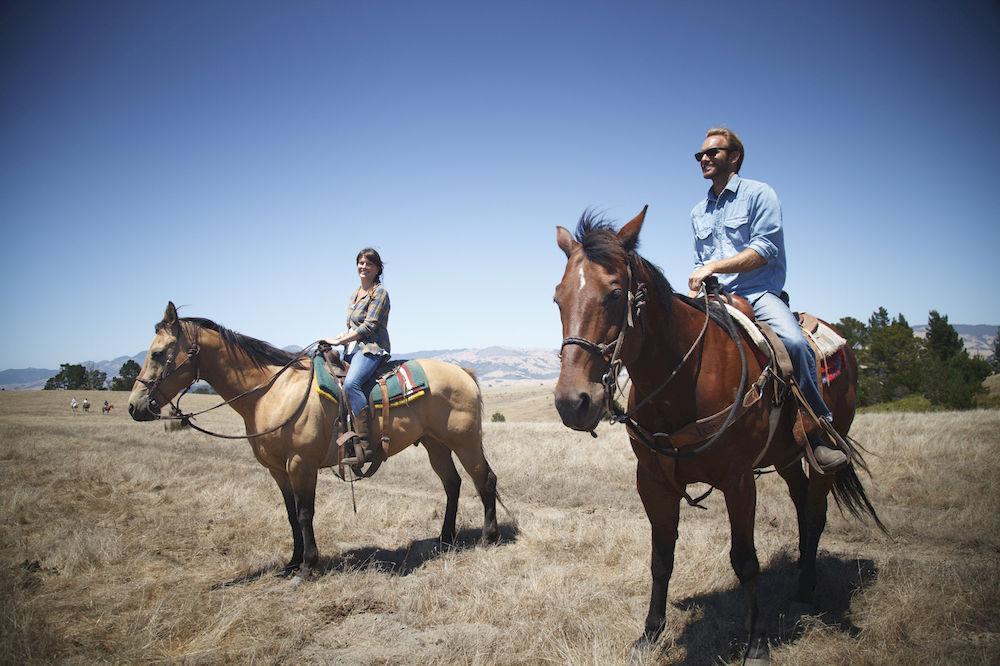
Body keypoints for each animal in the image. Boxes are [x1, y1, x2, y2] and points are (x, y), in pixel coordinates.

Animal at [128, 300, 500, 576]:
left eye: (158, 353)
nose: (135, 406)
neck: (271, 392)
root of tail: (462, 372)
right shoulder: (278, 469)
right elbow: (291, 513)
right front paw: (292, 562)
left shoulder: (301, 464)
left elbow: (306, 512)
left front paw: (308, 565)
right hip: (436, 444)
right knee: (452, 484)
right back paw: (445, 539)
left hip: (465, 442)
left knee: (484, 479)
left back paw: (488, 537)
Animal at [552, 208, 888, 660]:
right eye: (558, 298)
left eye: (615, 293)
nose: (574, 402)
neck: (682, 382)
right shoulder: (652, 481)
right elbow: (661, 557)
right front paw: (650, 634)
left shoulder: (738, 480)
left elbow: (745, 559)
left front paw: (757, 643)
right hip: (786, 456)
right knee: (802, 506)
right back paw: (801, 578)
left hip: (821, 452)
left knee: (816, 513)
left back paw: (806, 590)